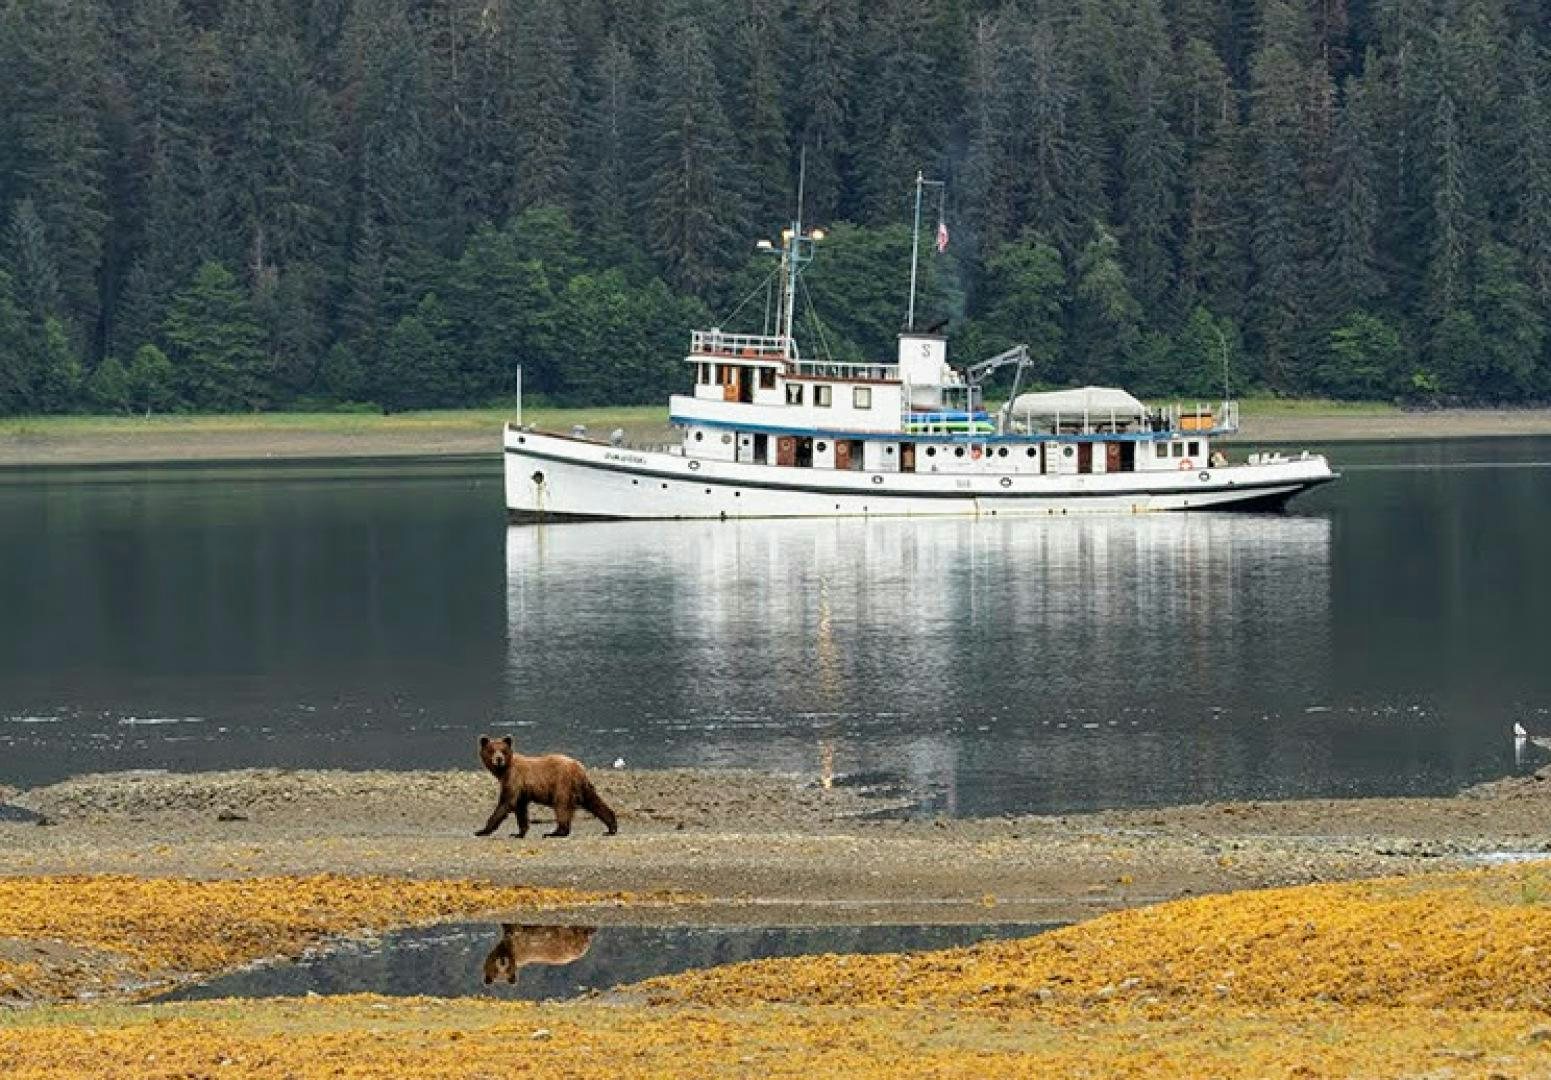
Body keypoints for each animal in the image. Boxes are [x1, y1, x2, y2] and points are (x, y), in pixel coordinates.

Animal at [475, 734, 618, 838]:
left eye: (503, 750)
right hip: (582, 786)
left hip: (562, 784)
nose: (499, 759)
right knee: (594, 801)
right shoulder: (521, 790)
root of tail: (578, 767)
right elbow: (520, 809)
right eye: (491, 750)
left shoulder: (514, 779)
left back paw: (554, 832)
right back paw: (611, 827)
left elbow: (506, 803)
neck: (504, 771)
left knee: (561, 806)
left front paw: (482, 830)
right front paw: (518, 833)